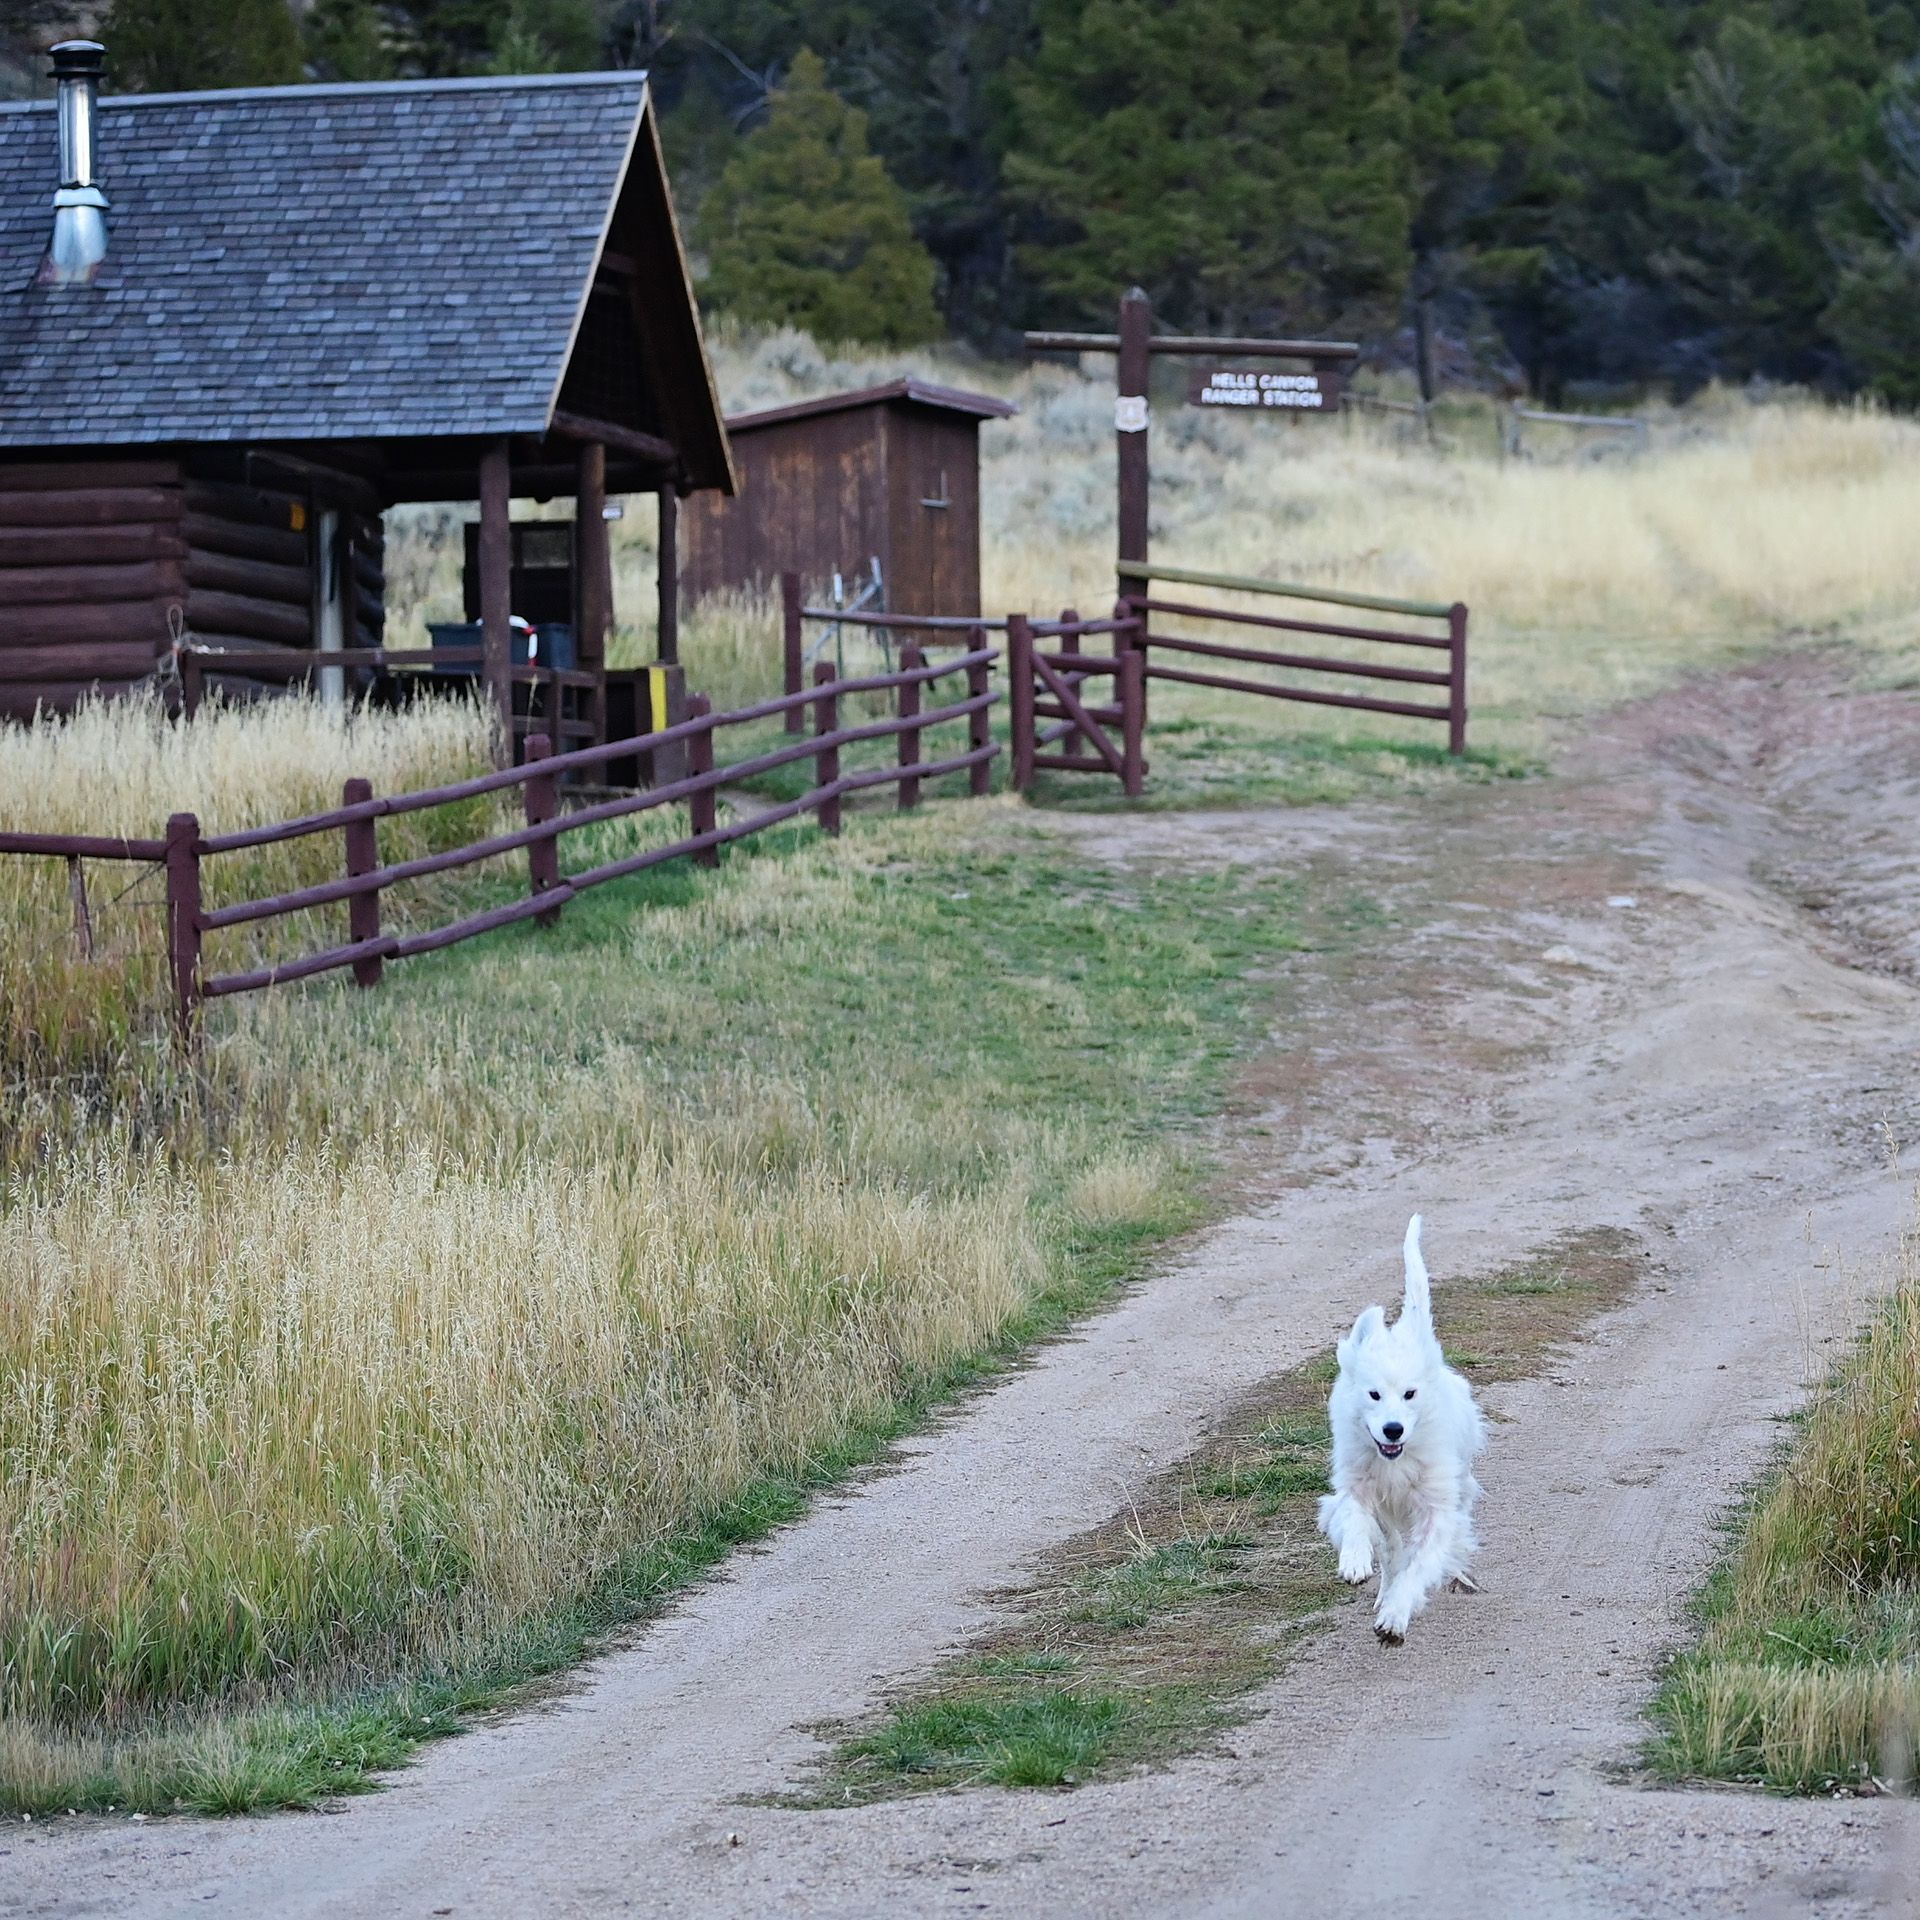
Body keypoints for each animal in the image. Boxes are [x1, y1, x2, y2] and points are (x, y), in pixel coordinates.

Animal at [1313, 1221, 1489, 1643]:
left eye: (1410, 1393)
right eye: (1373, 1394)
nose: (1392, 1430)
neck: (1396, 1461)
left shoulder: (1435, 1511)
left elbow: (1418, 1565)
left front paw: (1395, 1617)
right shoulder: (1355, 1486)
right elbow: (1355, 1520)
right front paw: (1355, 1562)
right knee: (1391, 1550)